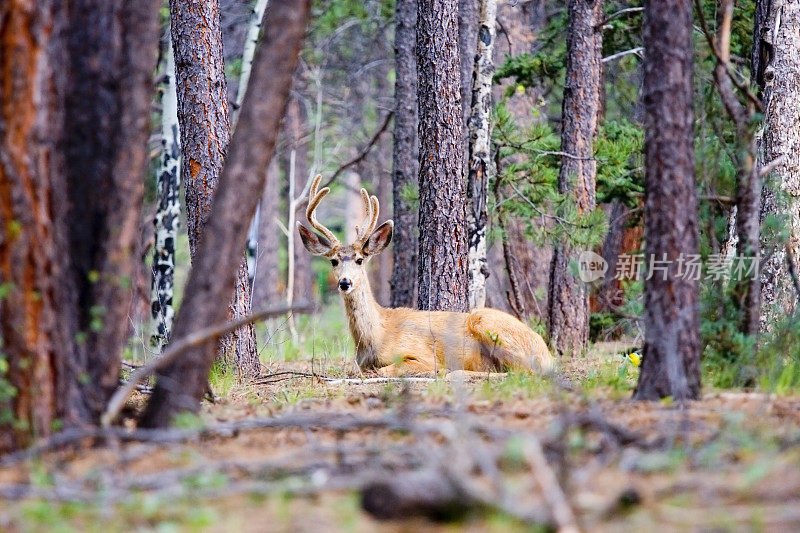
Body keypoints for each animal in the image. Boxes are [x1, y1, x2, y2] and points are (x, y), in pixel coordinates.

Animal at [296, 175, 552, 374]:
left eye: (360, 260)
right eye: (333, 261)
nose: (345, 282)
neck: (377, 336)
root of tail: (546, 351)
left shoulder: (421, 356)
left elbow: (385, 370)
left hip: (491, 325)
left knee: (525, 372)